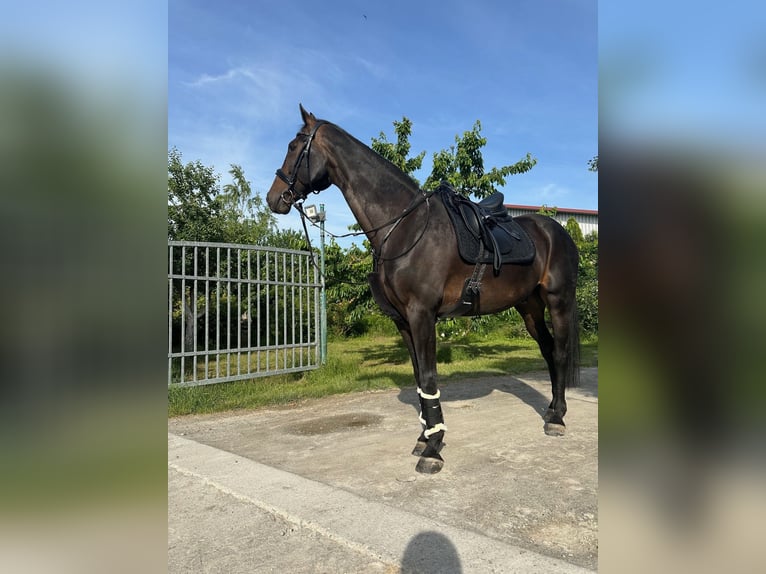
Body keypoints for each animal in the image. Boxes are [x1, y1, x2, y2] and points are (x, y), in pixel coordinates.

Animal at [268, 106, 580, 474]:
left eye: (293, 146)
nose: (274, 198)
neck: (405, 226)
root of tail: (556, 231)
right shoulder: (403, 321)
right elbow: (418, 379)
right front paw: (424, 438)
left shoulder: (422, 314)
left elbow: (429, 378)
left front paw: (433, 450)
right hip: (529, 307)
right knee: (547, 349)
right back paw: (551, 411)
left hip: (558, 301)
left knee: (559, 352)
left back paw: (558, 419)